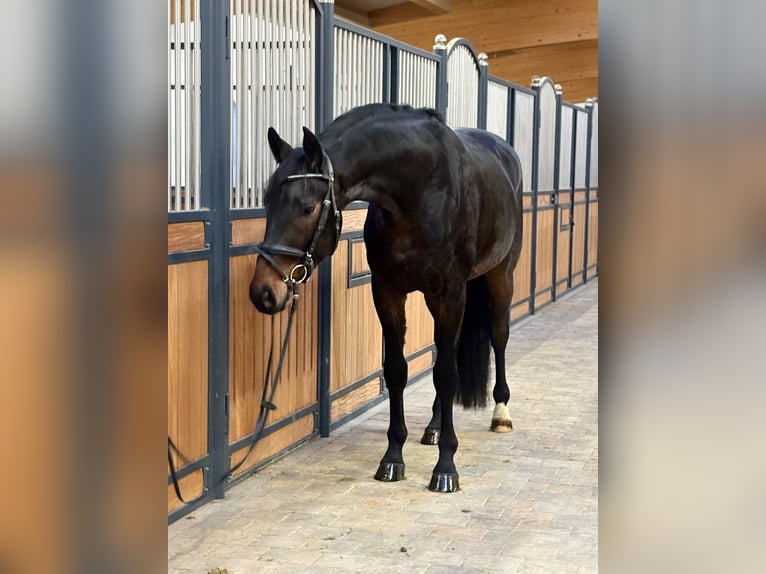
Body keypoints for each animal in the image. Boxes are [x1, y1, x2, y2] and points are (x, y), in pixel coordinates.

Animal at [249, 103, 523, 492]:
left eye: (306, 207)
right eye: (267, 201)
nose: (264, 292)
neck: (420, 190)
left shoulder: (450, 292)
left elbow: (447, 374)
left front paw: (446, 469)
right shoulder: (387, 292)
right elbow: (397, 370)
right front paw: (393, 458)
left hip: (500, 276)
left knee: (498, 336)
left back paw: (500, 414)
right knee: (448, 351)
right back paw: (434, 427)